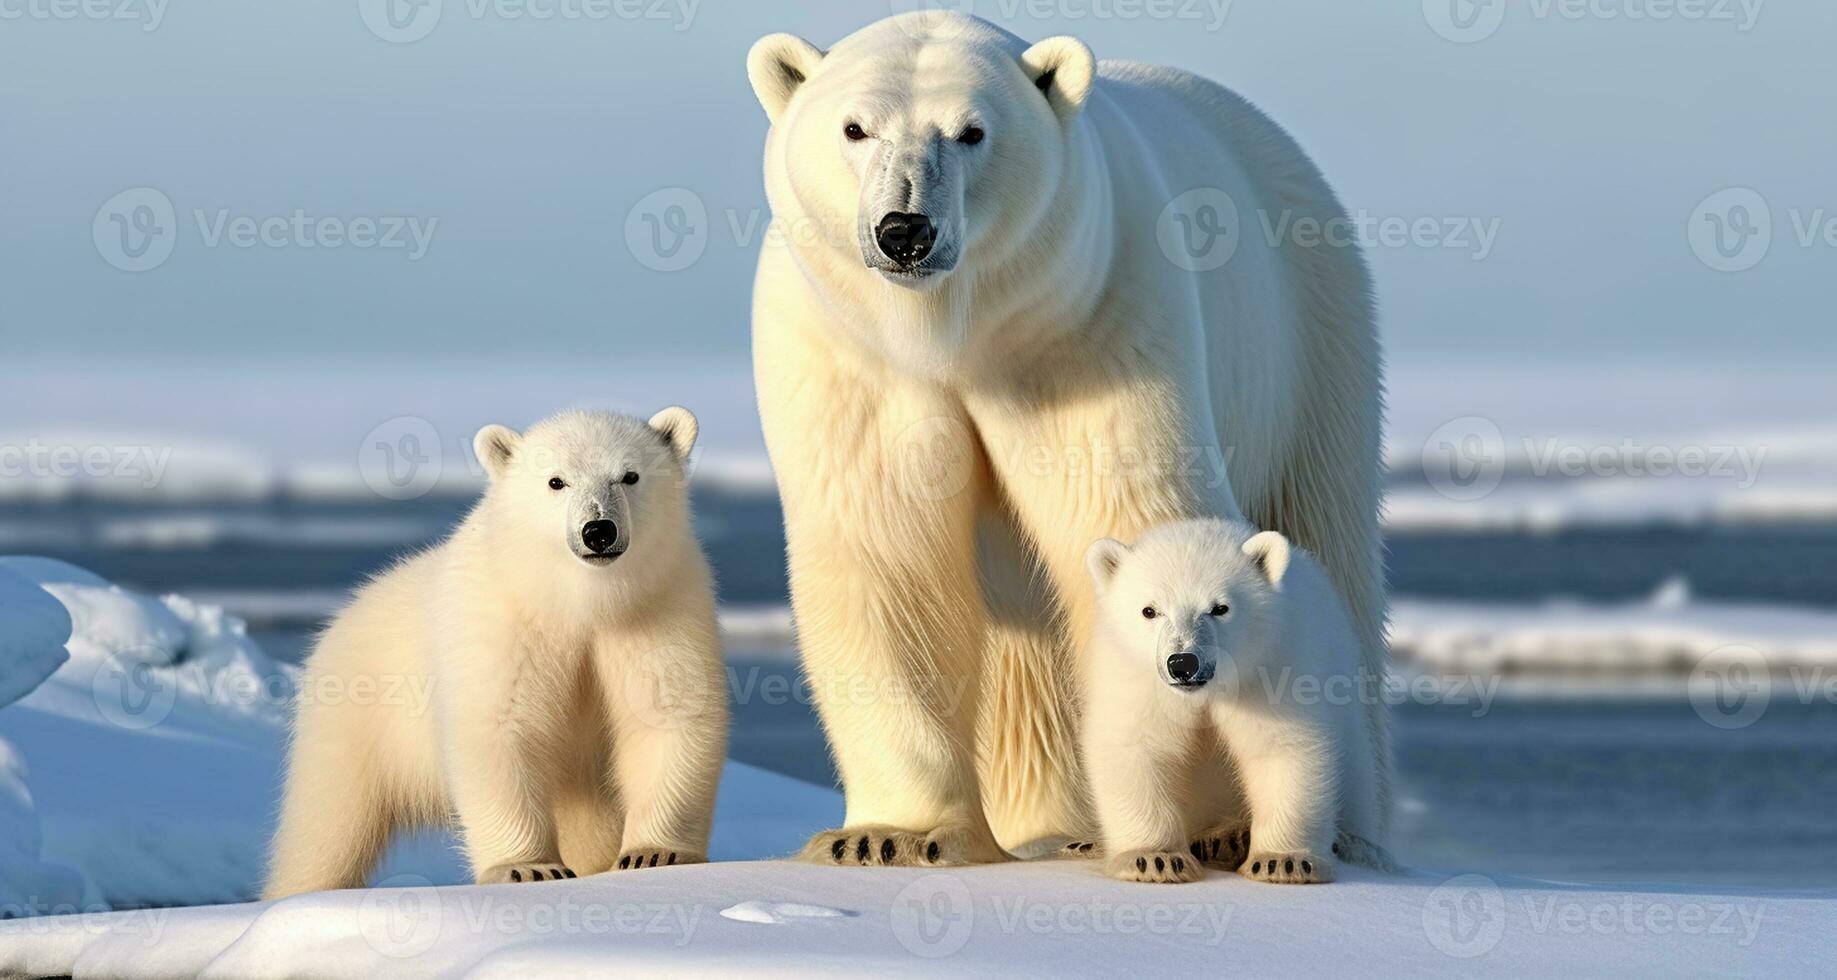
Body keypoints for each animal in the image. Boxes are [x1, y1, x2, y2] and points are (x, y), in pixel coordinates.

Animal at [742, 9, 1381, 864]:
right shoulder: (850, 357)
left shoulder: (1090, 325)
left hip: (1312, 339)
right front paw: (886, 836)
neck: (956, 334)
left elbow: (1127, 512)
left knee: (1325, 537)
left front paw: (1208, 824)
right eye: (854, 127)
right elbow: (888, 561)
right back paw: (1053, 827)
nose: (904, 230)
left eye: (971, 130)